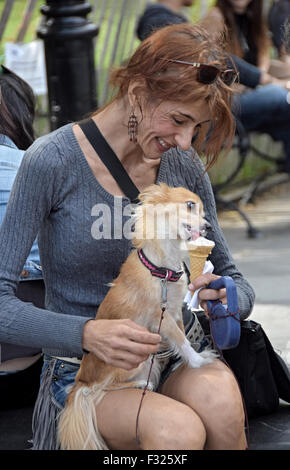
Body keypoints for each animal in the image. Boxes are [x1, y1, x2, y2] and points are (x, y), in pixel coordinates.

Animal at [58, 183, 215, 448]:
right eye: (190, 205)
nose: (209, 226)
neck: (163, 270)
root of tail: (80, 381)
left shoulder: (174, 311)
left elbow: (182, 337)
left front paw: (191, 356)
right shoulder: (160, 318)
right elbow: (180, 340)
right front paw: (197, 360)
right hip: (135, 359)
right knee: (101, 389)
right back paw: (141, 383)